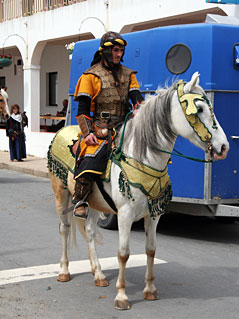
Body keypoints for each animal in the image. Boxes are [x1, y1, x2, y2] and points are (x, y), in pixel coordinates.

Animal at [48, 72, 230, 310]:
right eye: (198, 109)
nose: (224, 147)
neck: (142, 158)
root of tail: (61, 131)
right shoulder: (125, 214)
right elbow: (123, 254)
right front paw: (122, 296)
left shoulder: (154, 215)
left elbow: (151, 249)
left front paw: (150, 290)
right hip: (61, 194)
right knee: (64, 229)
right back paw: (64, 271)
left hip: (95, 203)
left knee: (90, 231)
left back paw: (98, 274)